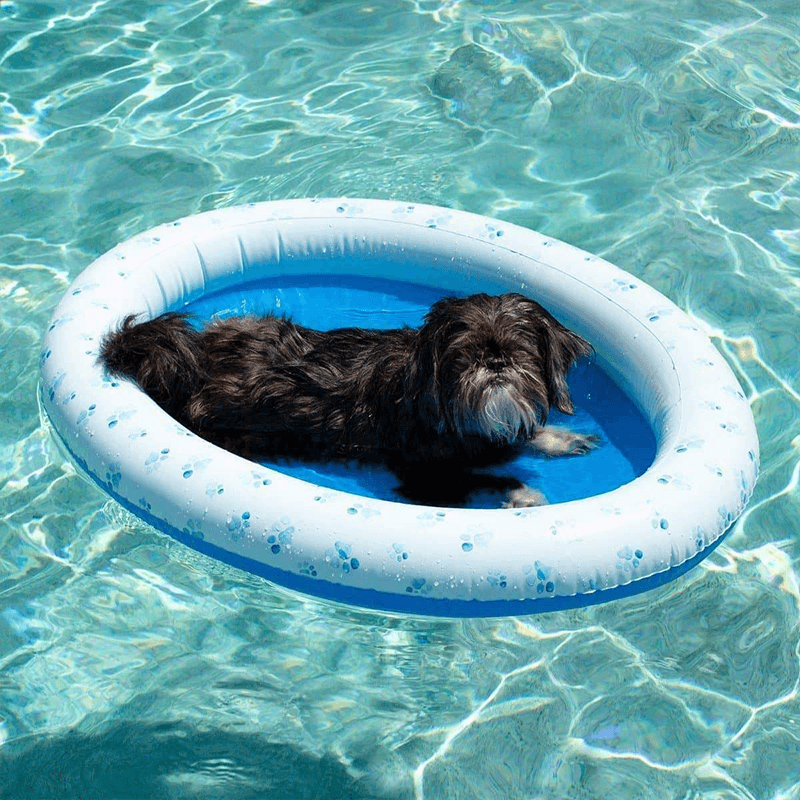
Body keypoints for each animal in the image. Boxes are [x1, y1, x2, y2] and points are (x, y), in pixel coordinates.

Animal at [100, 294, 596, 506]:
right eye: (462, 355)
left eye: (522, 349)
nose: (495, 361)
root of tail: (192, 360)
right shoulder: (424, 480)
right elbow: (484, 479)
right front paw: (523, 493)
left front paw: (558, 438)